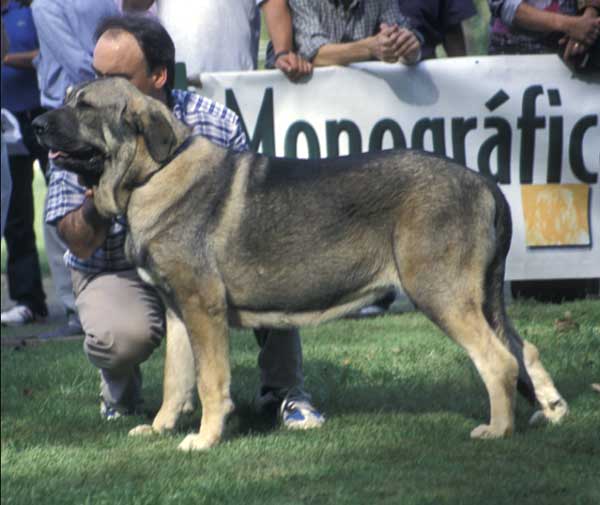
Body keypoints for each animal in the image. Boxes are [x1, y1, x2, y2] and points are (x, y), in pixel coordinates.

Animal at [32, 78, 568, 448]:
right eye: (68, 97)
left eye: (84, 106)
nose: (36, 124)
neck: (153, 174)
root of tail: (485, 183)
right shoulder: (179, 311)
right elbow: (175, 381)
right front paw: (162, 428)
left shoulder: (203, 310)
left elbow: (209, 381)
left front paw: (205, 439)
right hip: (483, 298)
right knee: (525, 349)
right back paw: (551, 412)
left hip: (440, 293)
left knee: (497, 360)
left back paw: (498, 429)